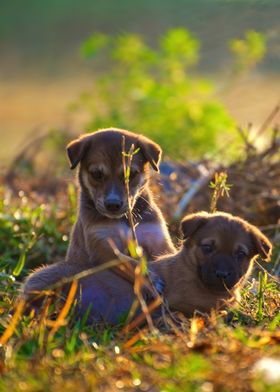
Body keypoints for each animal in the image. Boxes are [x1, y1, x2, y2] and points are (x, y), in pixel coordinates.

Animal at [23, 127, 175, 296]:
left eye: (131, 174)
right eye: (96, 174)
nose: (113, 204)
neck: (123, 220)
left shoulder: (158, 241)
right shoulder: (103, 247)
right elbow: (129, 262)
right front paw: (151, 281)